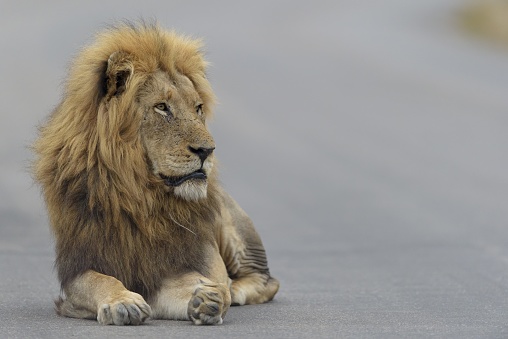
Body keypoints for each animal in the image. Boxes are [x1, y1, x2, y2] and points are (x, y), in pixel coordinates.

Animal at [32, 21, 278, 326]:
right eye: (162, 107)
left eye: (198, 108)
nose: (207, 150)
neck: (143, 196)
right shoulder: (79, 268)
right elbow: (99, 281)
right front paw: (123, 302)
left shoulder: (185, 263)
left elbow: (192, 286)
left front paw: (207, 298)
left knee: (266, 280)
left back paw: (234, 289)